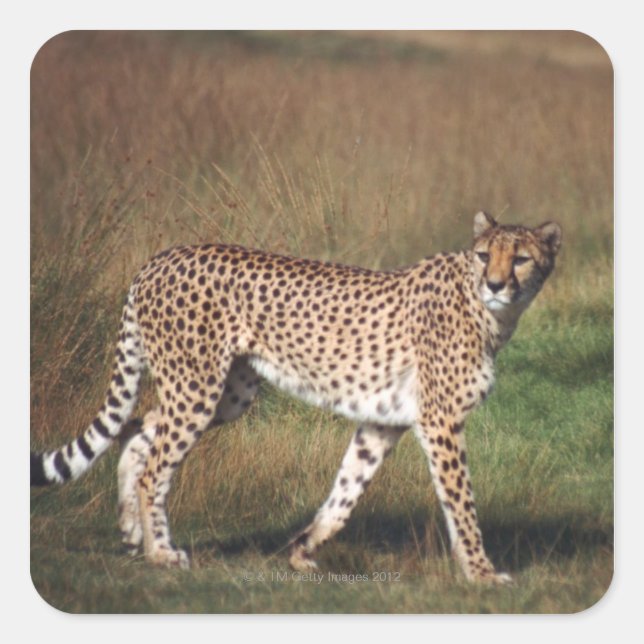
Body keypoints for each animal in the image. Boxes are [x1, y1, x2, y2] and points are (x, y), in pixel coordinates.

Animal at [31, 211, 562, 584]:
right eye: (484, 255)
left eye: (520, 258)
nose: (496, 284)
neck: (489, 312)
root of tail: (160, 258)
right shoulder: (441, 421)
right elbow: (462, 503)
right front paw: (482, 573)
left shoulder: (384, 420)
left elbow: (347, 490)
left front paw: (303, 549)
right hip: (197, 387)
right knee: (156, 464)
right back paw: (160, 551)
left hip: (227, 393)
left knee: (138, 429)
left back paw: (131, 530)